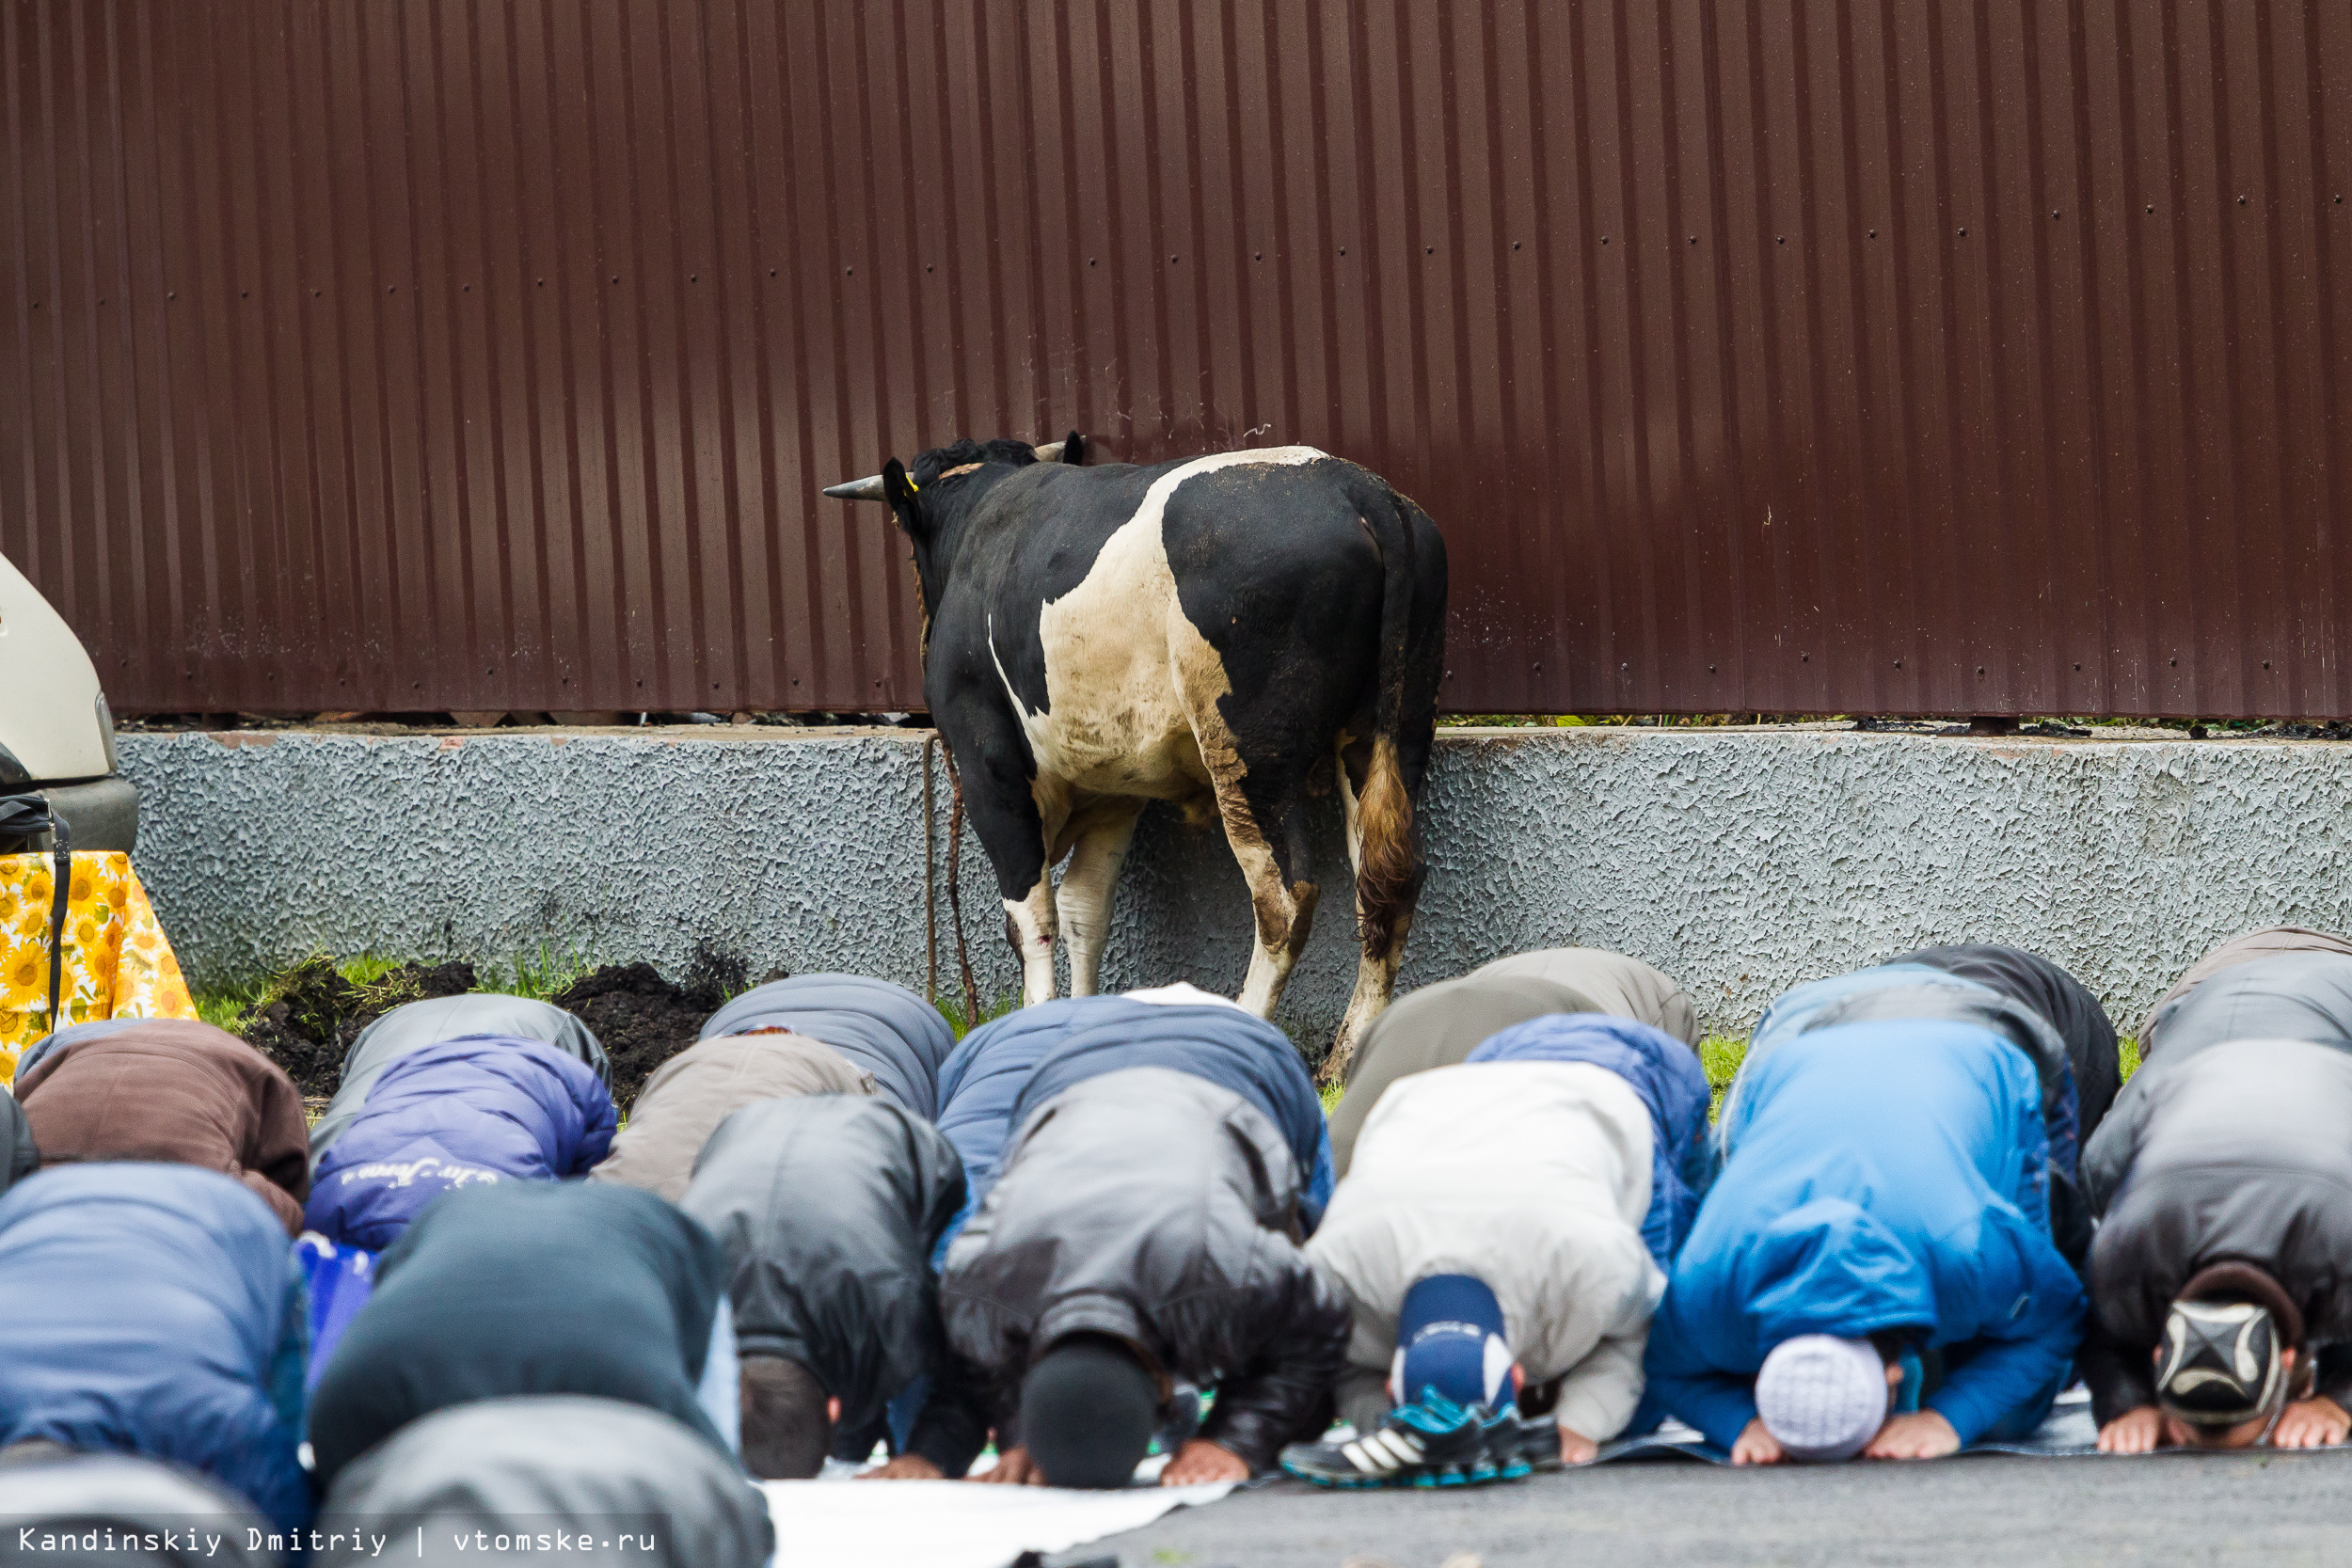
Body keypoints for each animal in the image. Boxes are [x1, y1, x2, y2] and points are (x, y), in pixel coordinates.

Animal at [828, 435, 1449, 1071]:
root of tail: (1358, 487)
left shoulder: (989, 769)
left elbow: (1031, 913)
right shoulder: (1113, 789)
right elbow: (1085, 909)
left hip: (1249, 754)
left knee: (1285, 895)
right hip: (1393, 730)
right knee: (1387, 880)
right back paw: (1344, 1058)